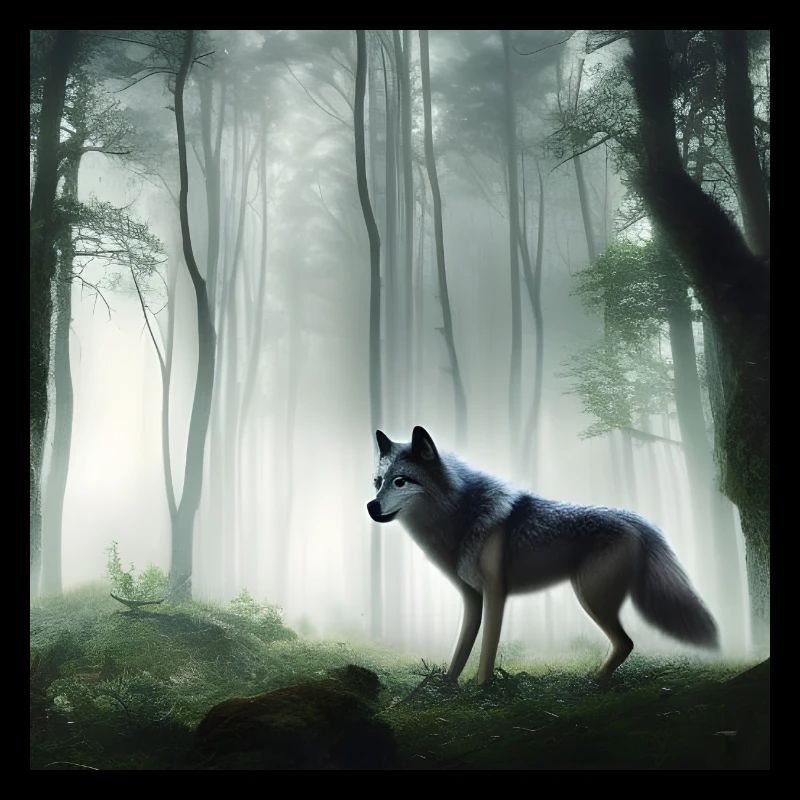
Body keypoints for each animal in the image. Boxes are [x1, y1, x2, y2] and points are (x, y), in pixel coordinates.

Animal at [367, 426, 718, 684]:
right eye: (378, 482)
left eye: (401, 481)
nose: (370, 506)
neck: (461, 514)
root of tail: (639, 520)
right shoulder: (472, 598)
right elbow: (461, 648)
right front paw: (447, 686)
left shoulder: (496, 594)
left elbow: (487, 648)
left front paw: (481, 689)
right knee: (624, 643)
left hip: (590, 597)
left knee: (626, 642)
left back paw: (595, 681)